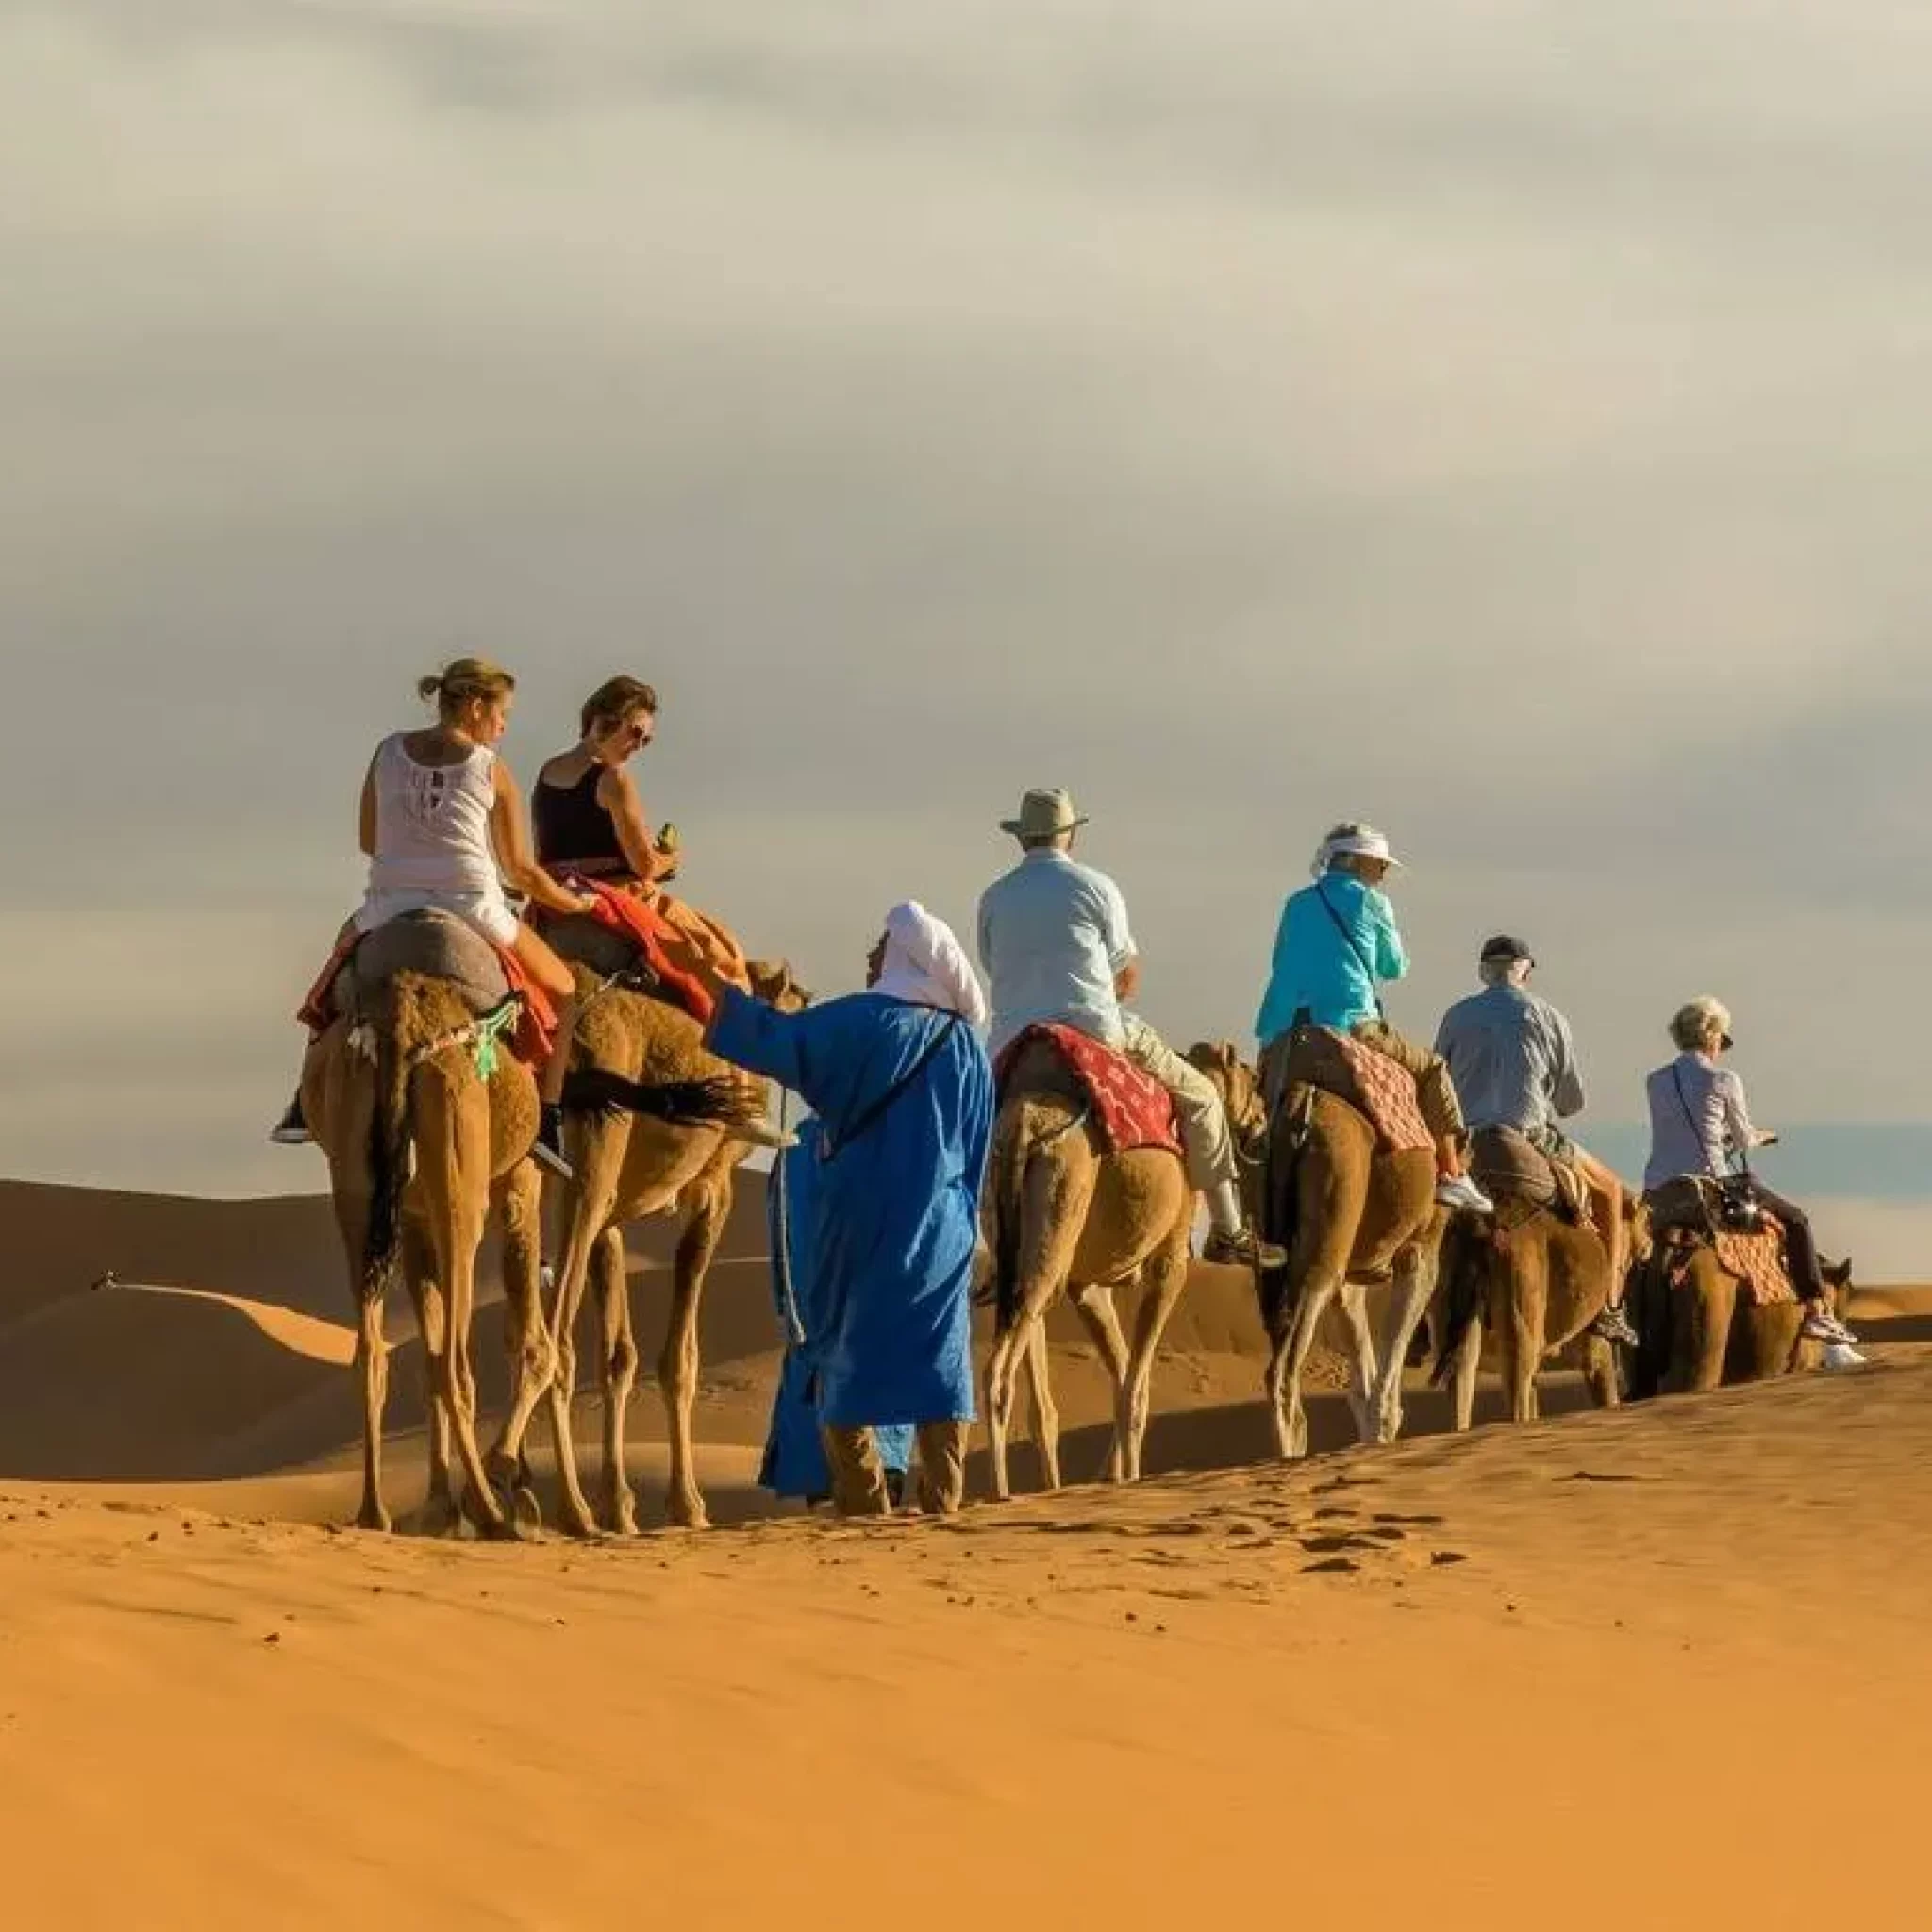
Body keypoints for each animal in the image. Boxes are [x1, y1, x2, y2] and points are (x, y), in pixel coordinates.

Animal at [494, 954, 811, 1538]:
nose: (806, 998)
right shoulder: (712, 1187)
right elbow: (679, 1357)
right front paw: (687, 1505)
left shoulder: (617, 1219)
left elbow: (619, 1357)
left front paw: (619, 1504)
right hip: (592, 1152)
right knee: (557, 1336)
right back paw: (560, 1504)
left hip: (530, 1161)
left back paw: (512, 1491)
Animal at [981, 1035, 1205, 1499]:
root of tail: (1024, 1124)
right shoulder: (1172, 1255)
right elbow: (1135, 1386)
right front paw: (1130, 1476)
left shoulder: (1086, 1285)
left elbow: (1121, 1372)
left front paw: (1111, 1475)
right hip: (1063, 1193)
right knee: (1000, 1372)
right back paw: (1002, 1493)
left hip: (1007, 1219)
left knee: (1032, 1365)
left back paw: (1042, 1487)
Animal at [1228, 1035, 1453, 1453]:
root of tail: (1299, 1102)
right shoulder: (1420, 1251)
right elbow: (1386, 1372)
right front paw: (1384, 1430)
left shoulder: (1353, 1273)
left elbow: (1362, 1379)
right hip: (1334, 1198)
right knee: (1283, 1369)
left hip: (1269, 1226)